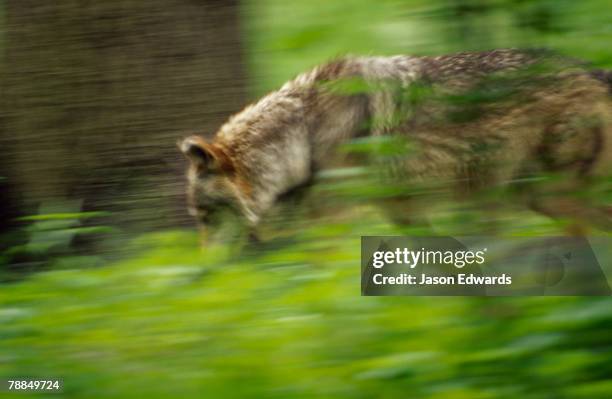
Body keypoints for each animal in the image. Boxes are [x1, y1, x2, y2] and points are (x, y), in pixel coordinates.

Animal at [179, 48, 608, 239]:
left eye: (207, 216)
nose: (208, 269)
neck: (303, 133)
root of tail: (593, 70)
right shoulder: (402, 214)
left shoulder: (334, 219)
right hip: (533, 196)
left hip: (549, 198)